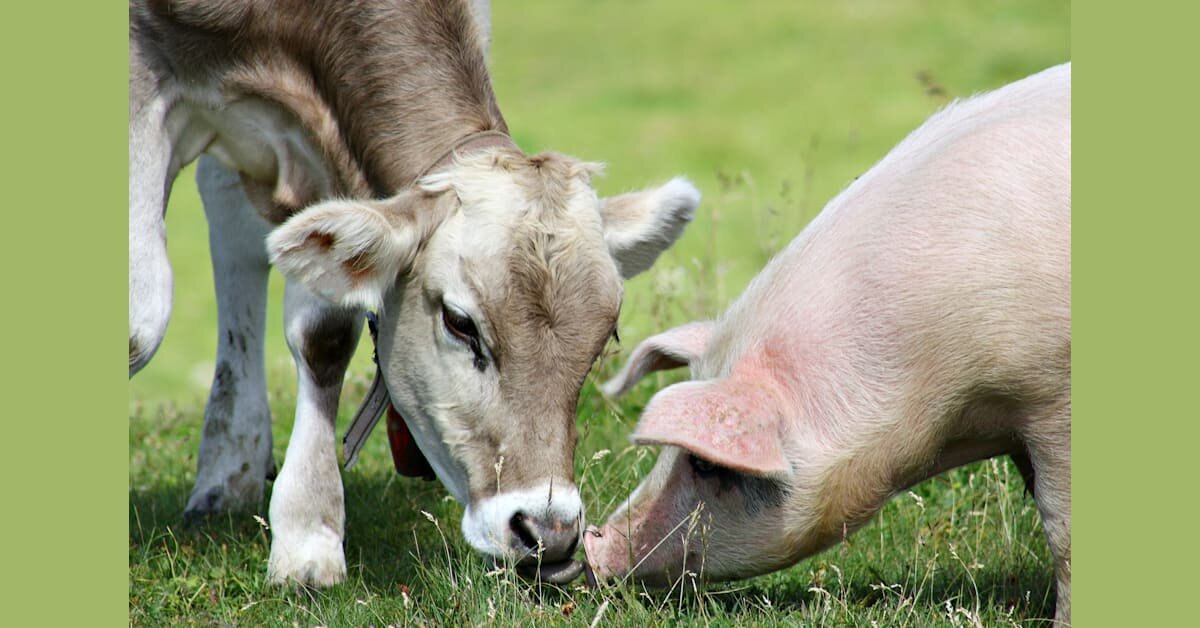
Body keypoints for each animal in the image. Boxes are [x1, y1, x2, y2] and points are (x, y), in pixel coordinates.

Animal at [126, 1, 700, 590]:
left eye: (605, 338)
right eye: (460, 322)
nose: (548, 533)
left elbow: (324, 334)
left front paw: (307, 533)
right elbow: (140, 323)